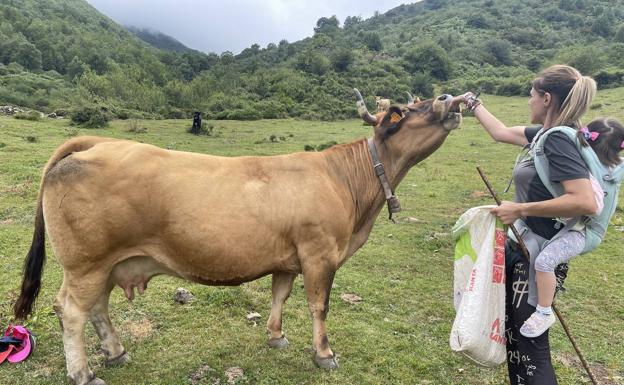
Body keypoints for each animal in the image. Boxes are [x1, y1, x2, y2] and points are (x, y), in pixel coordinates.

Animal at [14, 94, 464, 384]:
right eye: (410, 109)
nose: (452, 99)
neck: (345, 182)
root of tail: (95, 144)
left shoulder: (288, 257)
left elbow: (280, 295)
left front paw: (276, 337)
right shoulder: (320, 254)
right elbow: (319, 306)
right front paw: (324, 354)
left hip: (108, 263)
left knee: (98, 307)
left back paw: (116, 352)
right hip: (86, 263)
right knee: (71, 310)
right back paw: (83, 372)